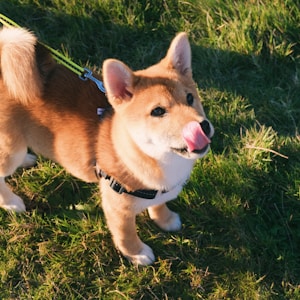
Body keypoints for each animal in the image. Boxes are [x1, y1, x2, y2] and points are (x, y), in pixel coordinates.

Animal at [0, 26, 216, 264]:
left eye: (190, 98)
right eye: (158, 111)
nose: (203, 126)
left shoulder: (160, 190)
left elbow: (159, 204)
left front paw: (165, 219)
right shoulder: (118, 208)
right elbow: (125, 234)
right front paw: (137, 253)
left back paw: (27, 160)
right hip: (11, 148)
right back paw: (11, 201)